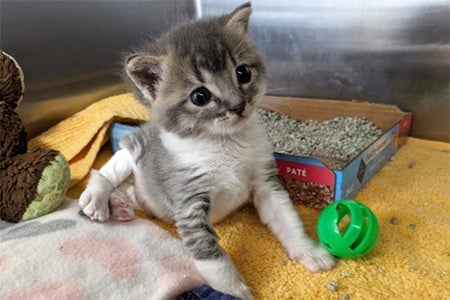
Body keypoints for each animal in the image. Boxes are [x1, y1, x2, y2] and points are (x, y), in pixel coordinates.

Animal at [80, 2, 334, 300]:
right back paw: (98, 197)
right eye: (199, 96)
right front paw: (234, 291)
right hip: (138, 144)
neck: (224, 143)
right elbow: (212, 256)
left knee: (132, 190)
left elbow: (286, 218)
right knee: (115, 163)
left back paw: (120, 206)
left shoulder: (265, 181)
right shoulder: (189, 203)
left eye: (243, 73)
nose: (237, 106)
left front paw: (308, 251)